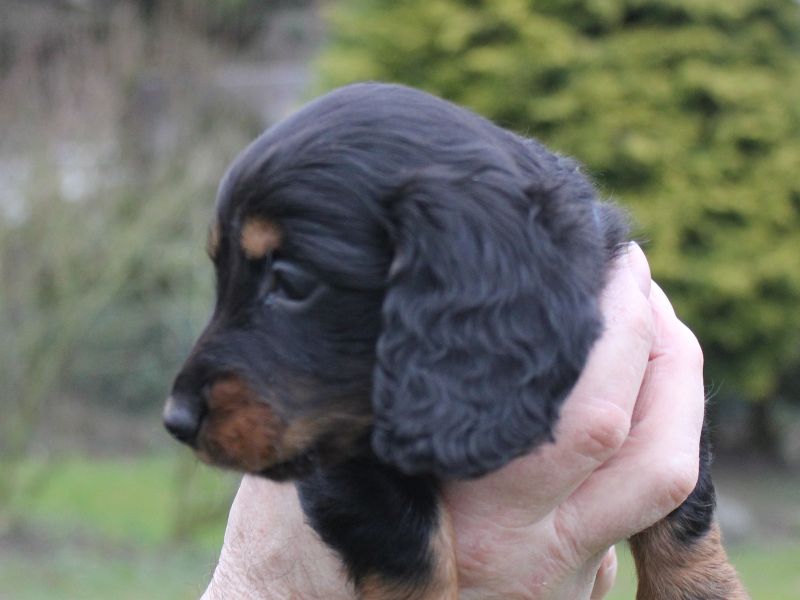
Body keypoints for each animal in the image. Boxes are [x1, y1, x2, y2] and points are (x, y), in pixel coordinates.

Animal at [166, 83, 748, 600]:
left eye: (288, 281)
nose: (176, 420)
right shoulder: (344, 446)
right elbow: (411, 541)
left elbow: (685, 512)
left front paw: (702, 591)